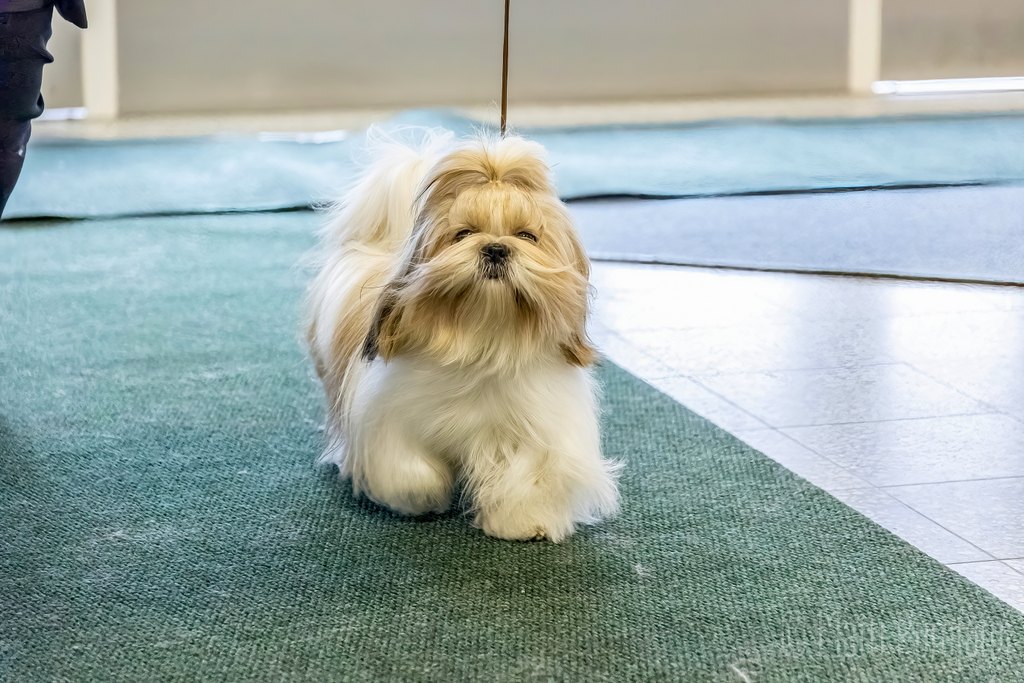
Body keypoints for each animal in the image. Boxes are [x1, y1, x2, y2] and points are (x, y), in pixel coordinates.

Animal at [305, 129, 620, 541]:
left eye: (526, 235)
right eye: (463, 234)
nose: (496, 249)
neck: (482, 340)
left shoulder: (538, 426)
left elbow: (529, 476)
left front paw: (523, 522)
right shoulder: (389, 417)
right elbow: (407, 470)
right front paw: (421, 499)